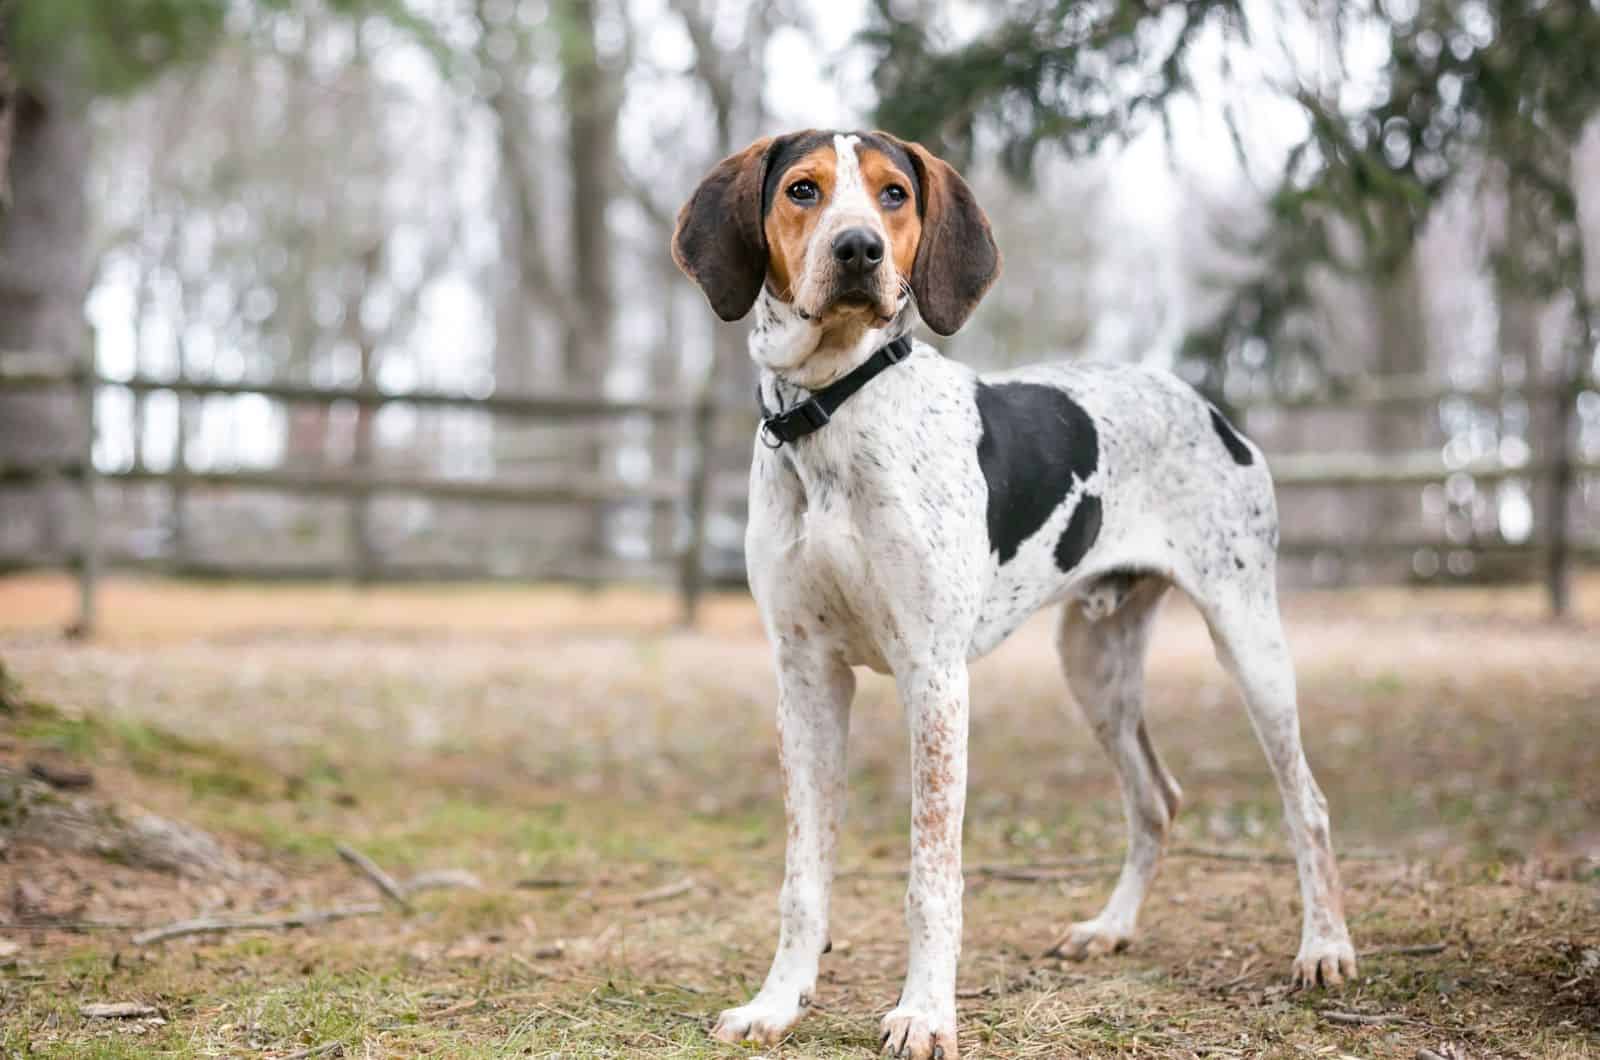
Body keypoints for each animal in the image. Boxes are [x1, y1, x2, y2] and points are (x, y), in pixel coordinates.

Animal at [668, 132, 1356, 1060]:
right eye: (803, 191)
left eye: (893, 194)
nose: (859, 251)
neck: (833, 411)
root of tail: (1209, 406)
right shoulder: (806, 677)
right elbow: (802, 877)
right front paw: (777, 1003)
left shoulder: (934, 677)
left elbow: (932, 877)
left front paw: (924, 1014)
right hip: (1094, 667)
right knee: (1157, 800)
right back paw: (1111, 928)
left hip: (1249, 642)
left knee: (1305, 803)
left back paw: (1324, 947)